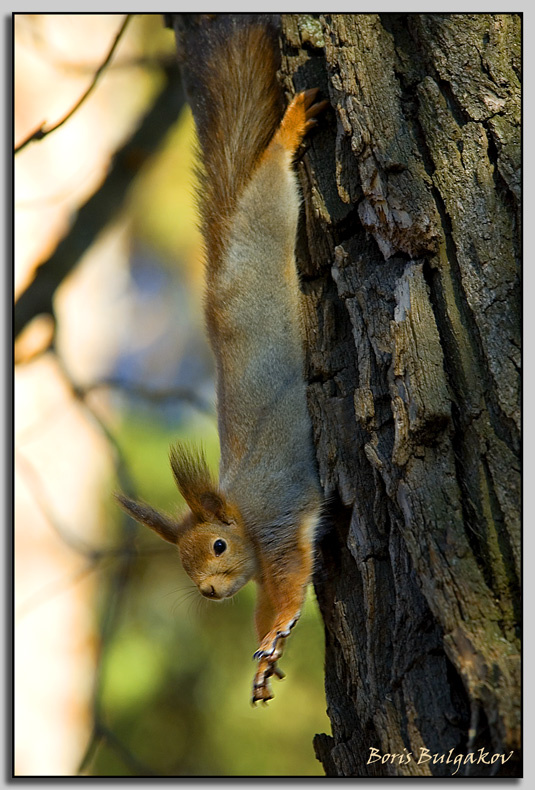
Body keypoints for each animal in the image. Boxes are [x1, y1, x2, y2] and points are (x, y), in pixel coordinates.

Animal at [116, 14, 327, 704]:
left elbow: (290, 579)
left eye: (215, 546)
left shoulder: (279, 517)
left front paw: (276, 631)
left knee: (268, 180)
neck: (238, 512)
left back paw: (289, 129)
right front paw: (262, 659)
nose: (208, 593)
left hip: (266, 220)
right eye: (185, 568)